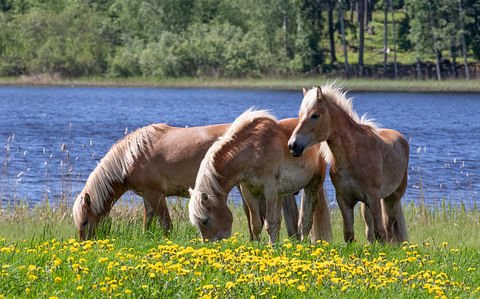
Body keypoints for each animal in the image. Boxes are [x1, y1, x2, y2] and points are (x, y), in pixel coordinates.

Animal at [72, 122, 300, 241]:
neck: (132, 155)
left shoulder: (156, 194)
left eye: (84, 222)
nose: (84, 245)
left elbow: (166, 225)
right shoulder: (147, 196)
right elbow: (148, 222)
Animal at [189, 109, 332, 245]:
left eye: (205, 221)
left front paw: (271, 247)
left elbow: (270, 223)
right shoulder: (248, 191)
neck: (255, 150)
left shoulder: (270, 190)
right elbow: (256, 224)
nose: (207, 245)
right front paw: (257, 246)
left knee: (306, 221)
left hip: (312, 186)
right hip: (281, 193)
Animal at [288, 84, 408, 244]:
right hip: (366, 205)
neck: (354, 155)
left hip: (392, 199)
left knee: (389, 229)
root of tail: (400, 138)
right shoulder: (345, 200)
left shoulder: (374, 199)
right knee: (370, 230)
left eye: (315, 115)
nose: (292, 145)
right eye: (300, 114)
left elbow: (381, 233)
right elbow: (349, 234)